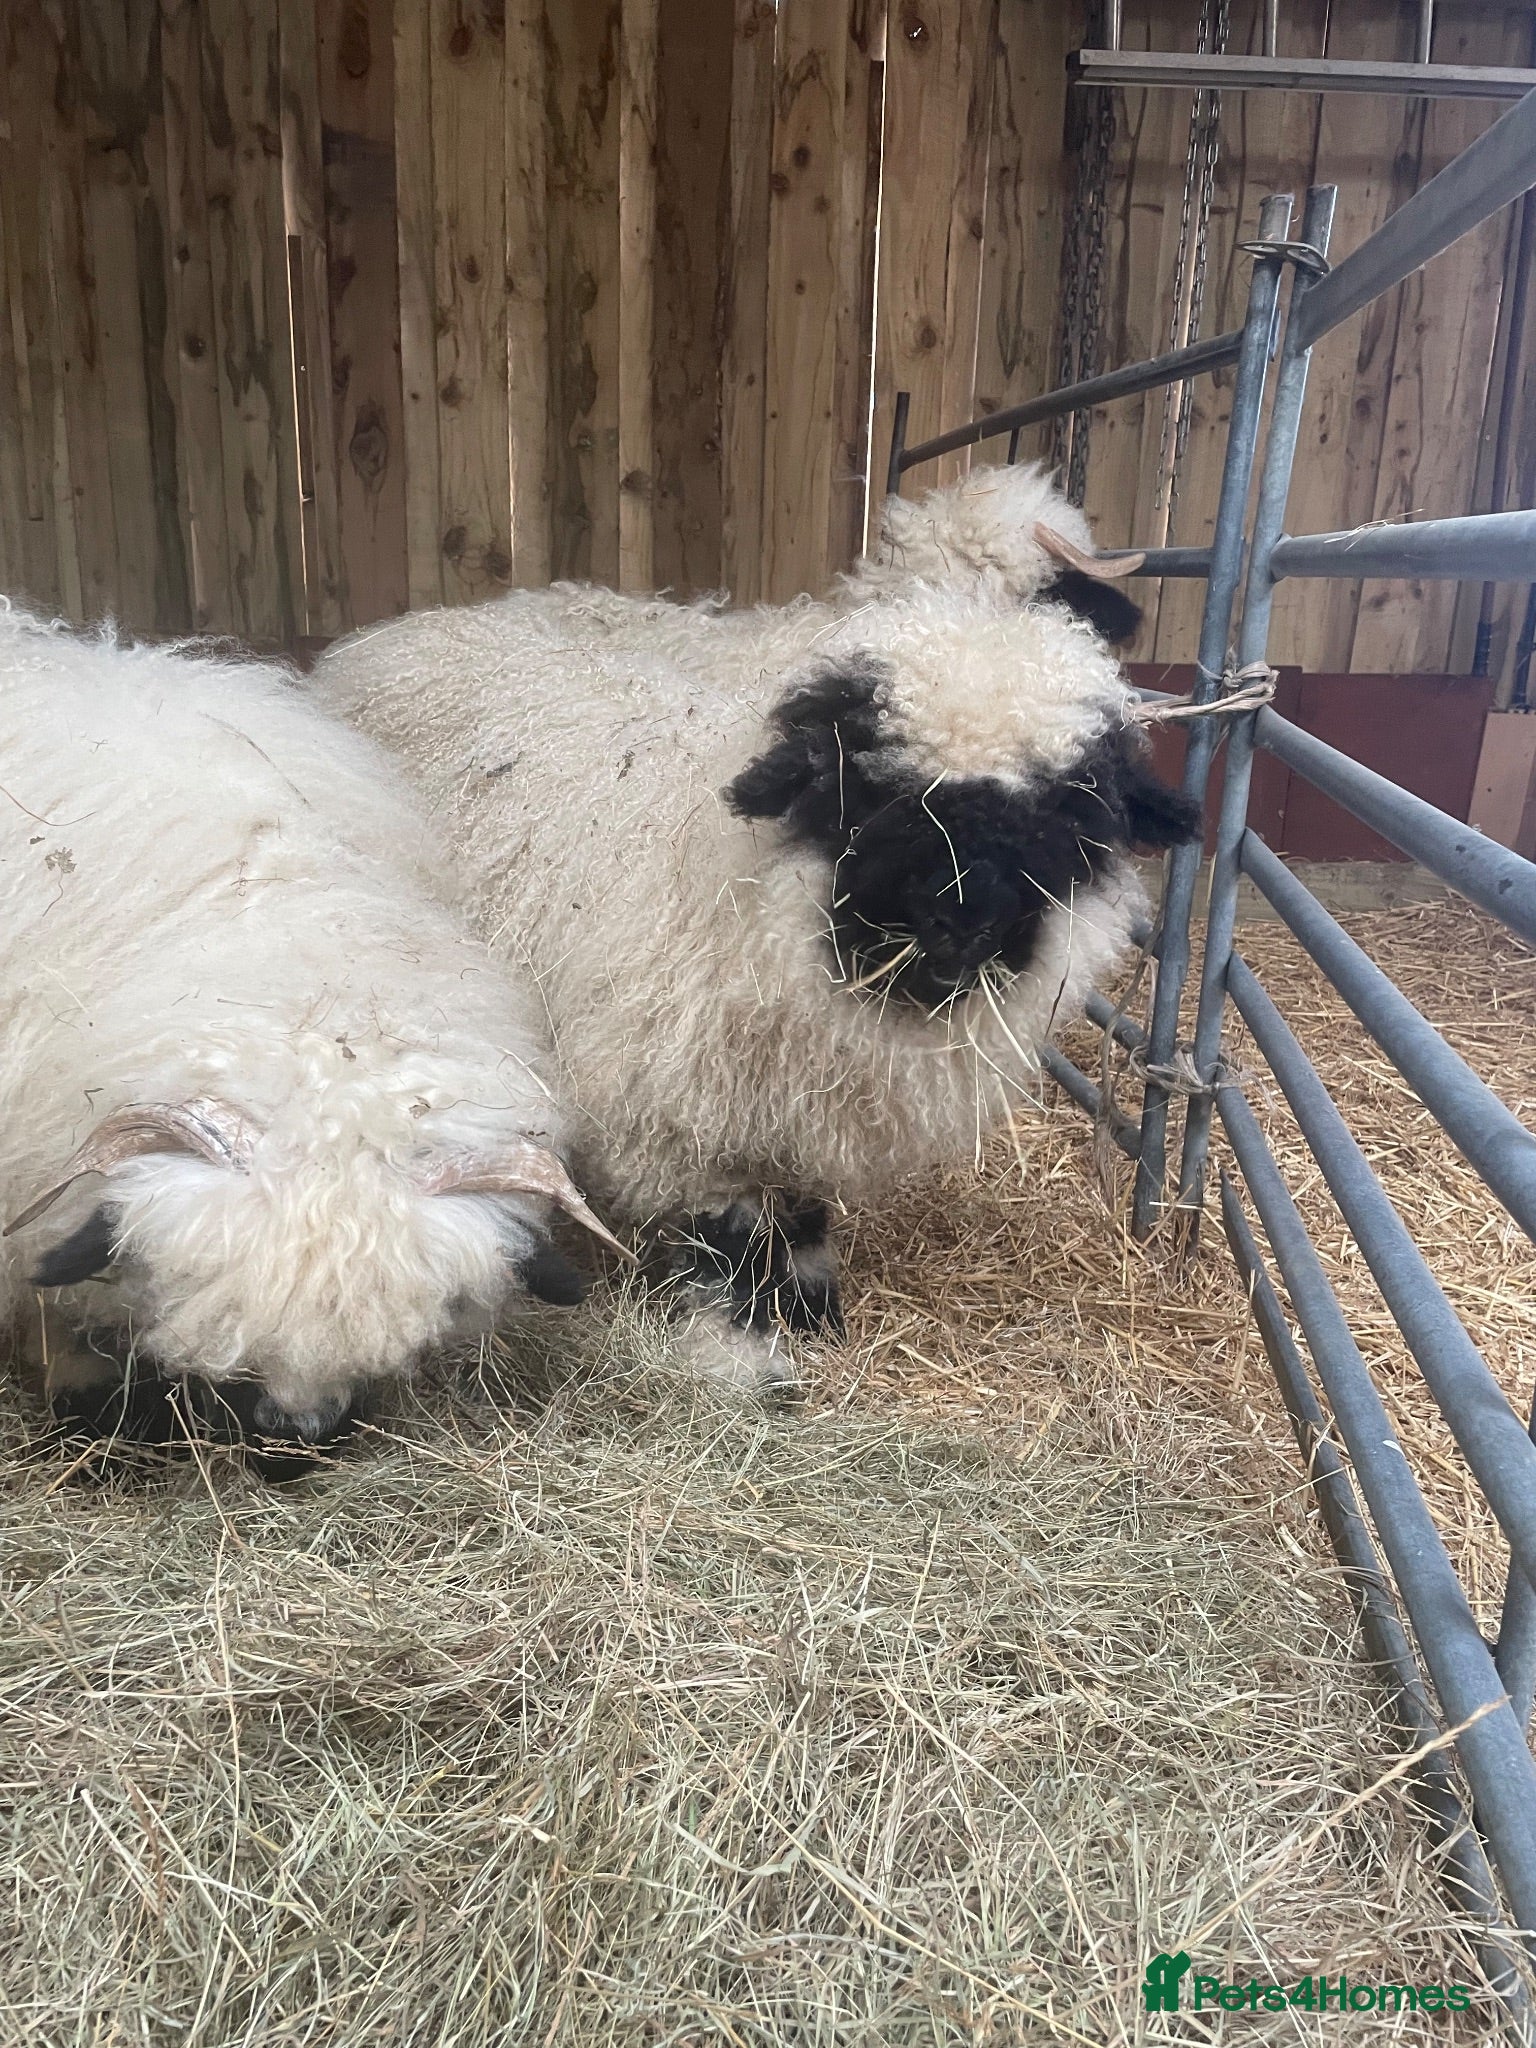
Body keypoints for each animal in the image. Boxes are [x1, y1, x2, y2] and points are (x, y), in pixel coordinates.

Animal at [311, 466, 1197, 1389]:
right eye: (864, 789)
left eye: (1068, 811)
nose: (955, 925)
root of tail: (405, 626)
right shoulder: (684, 1108)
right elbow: (732, 1230)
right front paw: (744, 1348)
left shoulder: (794, 1103)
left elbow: (799, 1209)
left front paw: (811, 1308)